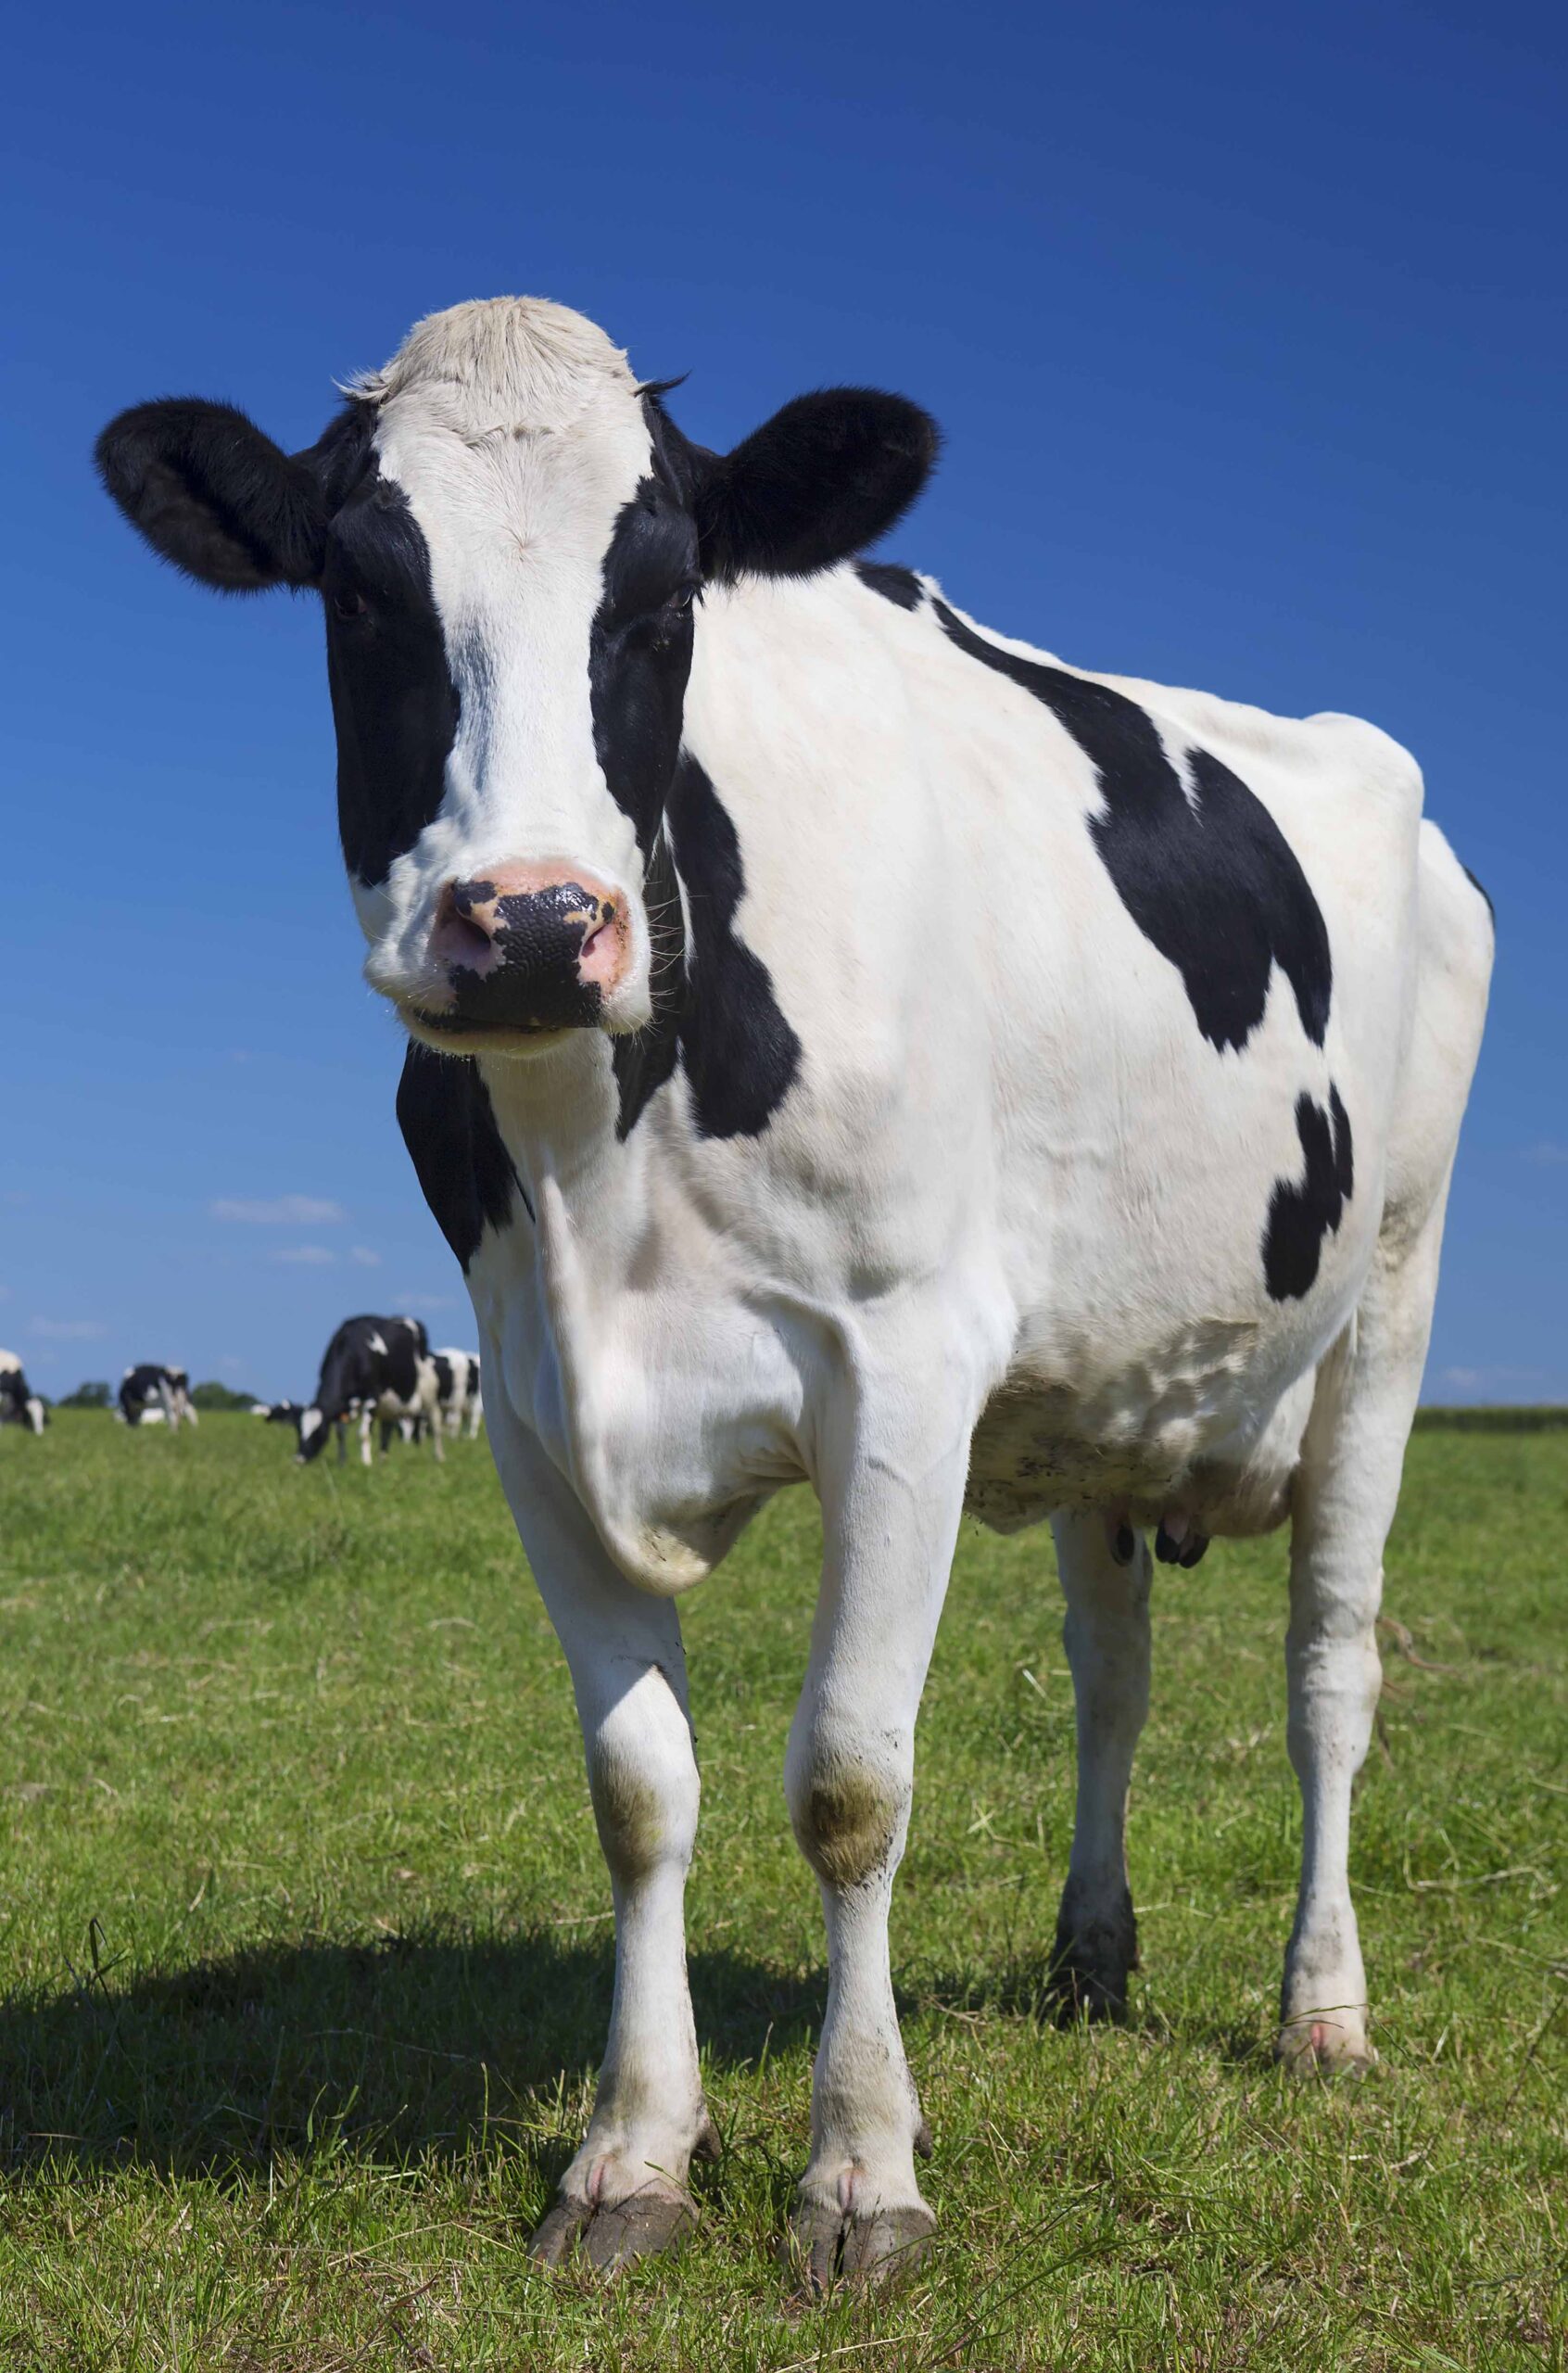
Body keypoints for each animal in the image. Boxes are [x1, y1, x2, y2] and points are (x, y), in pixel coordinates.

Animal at [294, 1319, 443, 1461]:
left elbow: (364, 1434)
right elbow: (340, 1434)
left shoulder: (372, 1397)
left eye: (318, 1432)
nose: (299, 1459)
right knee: (386, 1429)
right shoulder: (342, 1406)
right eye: (299, 1430)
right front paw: (342, 1461)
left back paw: (439, 1456)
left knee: (435, 1424)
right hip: (389, 1403)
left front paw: (366, 1462)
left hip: (430, 1396)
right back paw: (383, 1459)